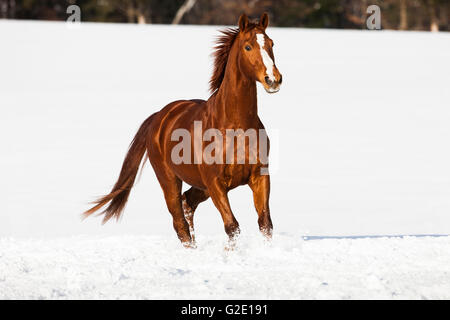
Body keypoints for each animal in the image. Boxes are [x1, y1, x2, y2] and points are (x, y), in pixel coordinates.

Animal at [84, 12, 282, 248]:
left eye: (271, 43)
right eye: (248, 47)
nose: (273, 80)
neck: (234, 127)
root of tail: (159, 117)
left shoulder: (259, 176)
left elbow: (266, 224)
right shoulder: (215, 183)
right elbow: (232, 226)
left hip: (200, 186)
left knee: (188, 204)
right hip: (170, 180)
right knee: (179, 222)